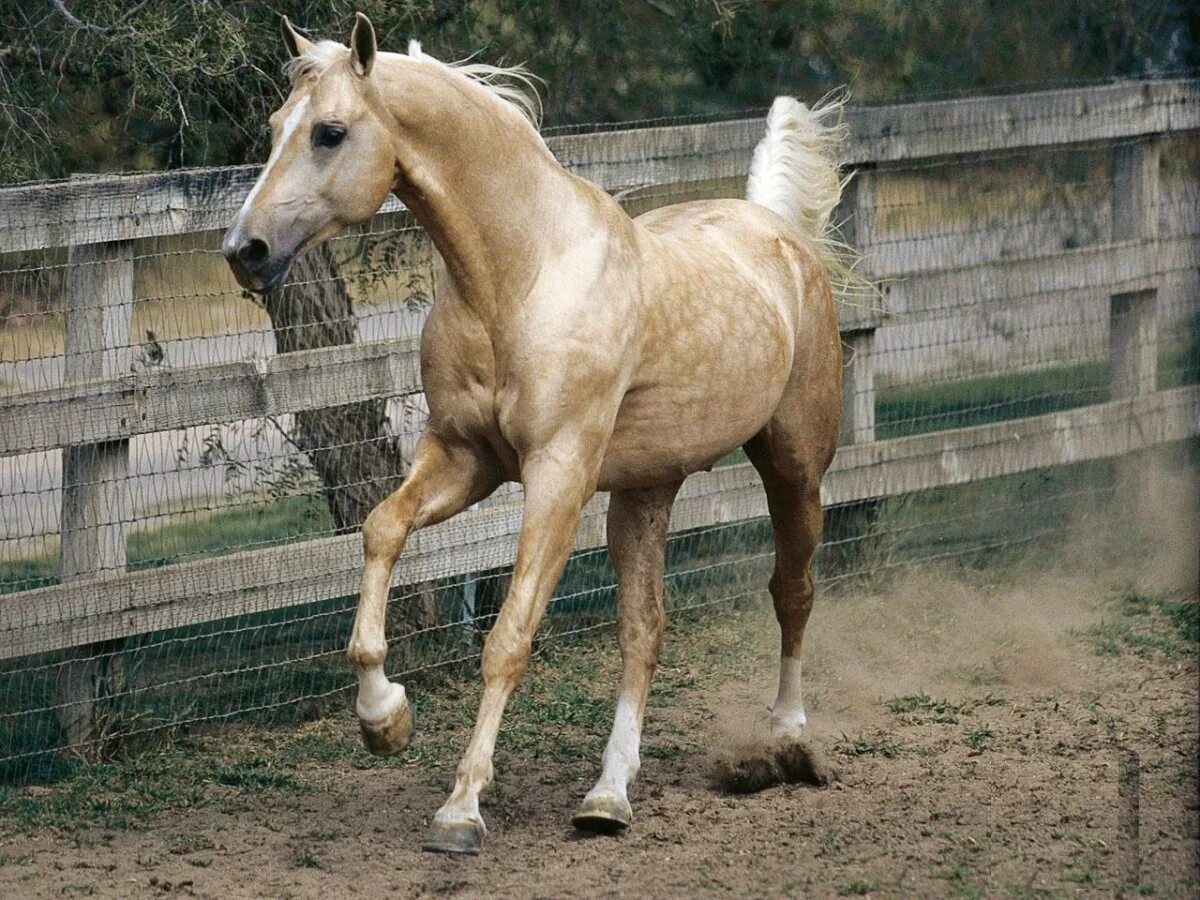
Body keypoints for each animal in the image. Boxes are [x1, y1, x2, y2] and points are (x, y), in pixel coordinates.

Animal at [225, 14, 844, 854]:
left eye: (329, 132)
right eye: (273, 126)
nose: (244, 252)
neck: (518, 278)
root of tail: (779, 231)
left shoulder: (557, 475)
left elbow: (508, 639)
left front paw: (460, 809)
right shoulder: (463, 459)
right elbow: (382, 529)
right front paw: (384, 719)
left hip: (793, 466)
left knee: (793, 591)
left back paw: (784, 736)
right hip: (647, 491)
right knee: (643, 630)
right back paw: (608, 797)